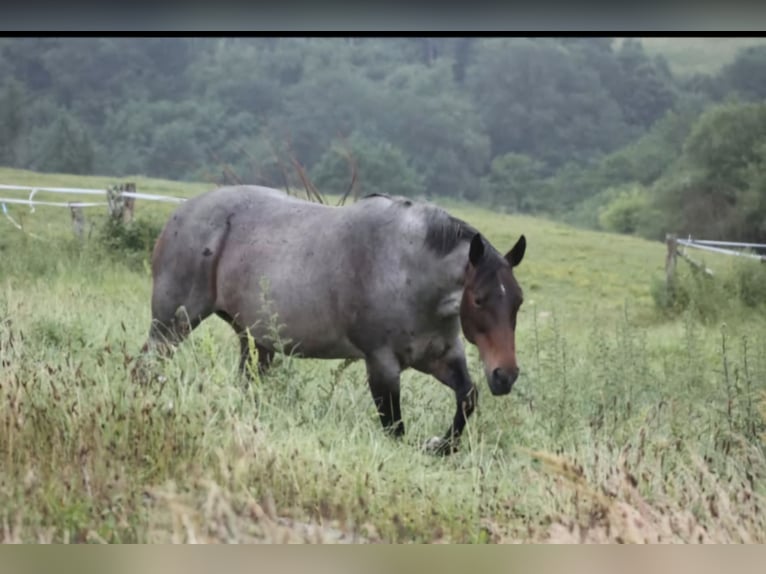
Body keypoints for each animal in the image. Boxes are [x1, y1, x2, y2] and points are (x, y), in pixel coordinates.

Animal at [138, 185, 526, 455]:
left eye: (517, 301)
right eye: (478, 300)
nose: (505, 375)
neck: (406, 267)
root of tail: (182, 211)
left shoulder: (440, 357)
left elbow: (468, 397)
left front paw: (440, 446)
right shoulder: (382, 365)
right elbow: (394, 430)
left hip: (254, 341)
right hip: (172, 324)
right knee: (145, 366)